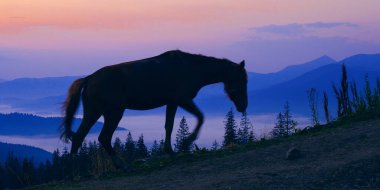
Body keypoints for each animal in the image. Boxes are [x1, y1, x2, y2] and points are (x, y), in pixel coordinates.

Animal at [60, 49, 248, 168]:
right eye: (241, 80)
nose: (243, 106)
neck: (190, 68)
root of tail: (89, 78)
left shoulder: (172, 103)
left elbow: (169, 126)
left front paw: (170, 151)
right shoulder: (183, 100)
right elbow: (200, 117)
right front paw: (187, 142)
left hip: (105, 113)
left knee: (92, 137)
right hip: (107, 113)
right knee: (92, 137)